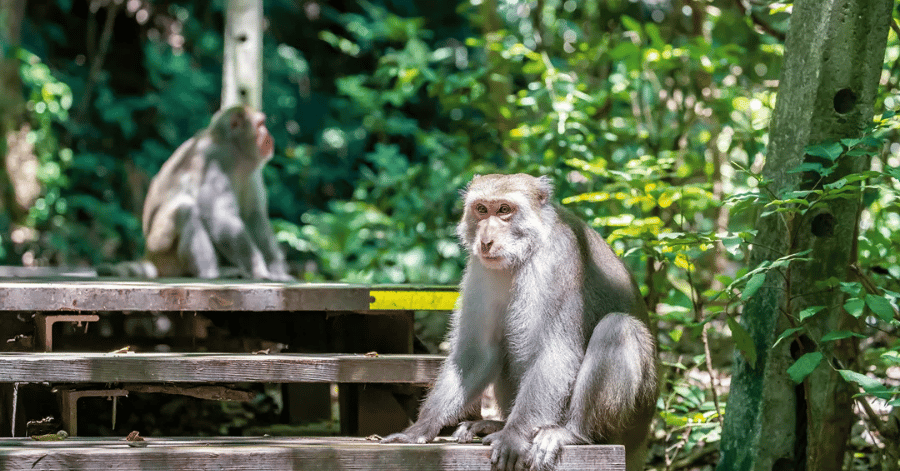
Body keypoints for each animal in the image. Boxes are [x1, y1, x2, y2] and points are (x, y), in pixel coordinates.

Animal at [141, 105, 293, 281]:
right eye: (260, 124)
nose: (268, 134)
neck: (234, 148)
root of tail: (148, 257)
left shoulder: (252, 171)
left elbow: (253, 216)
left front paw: (277, 271)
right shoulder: (216, 158)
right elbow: (219, 214)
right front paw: (258, 269)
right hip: (159, 248)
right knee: (186, 209)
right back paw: (210, 273)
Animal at [382, 174, 658, 471]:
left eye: (504, 210)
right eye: (482, 209)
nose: (486, 240)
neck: (524, 253)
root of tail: (643, 441)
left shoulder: (557, 261)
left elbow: (555, 352)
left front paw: (513, 436)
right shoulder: (481, 268)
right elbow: (478, 352)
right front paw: (421, 428)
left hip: (633, 420)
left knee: (618, 327)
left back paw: (572, 433)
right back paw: (494, 424)